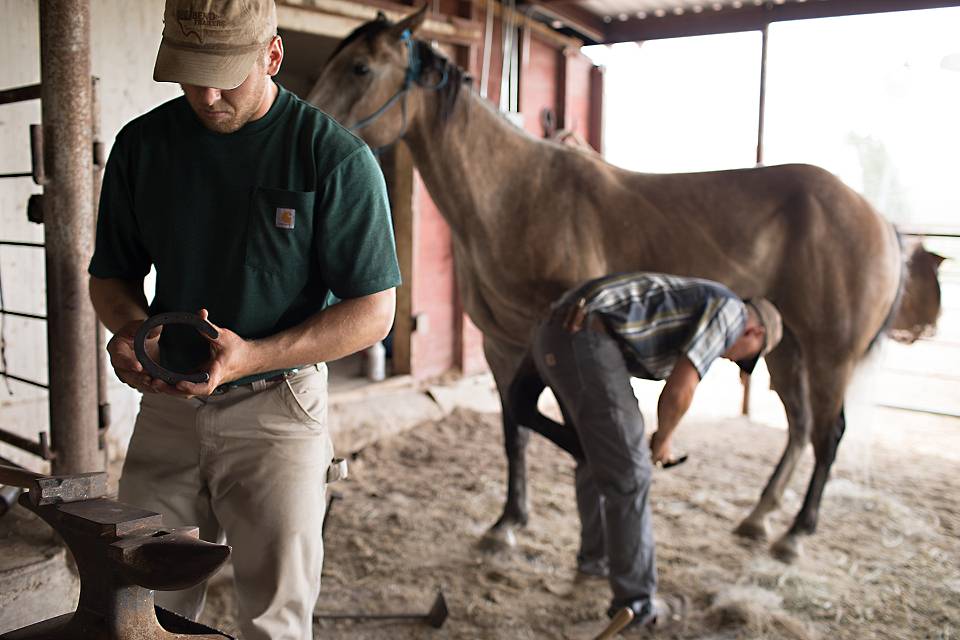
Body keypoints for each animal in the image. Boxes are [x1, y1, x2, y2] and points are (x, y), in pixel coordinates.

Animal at [308, 8, 944, 560]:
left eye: (360, 67)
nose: (311, 127)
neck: (514, 197)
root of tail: (878, 218)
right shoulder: (501, 346)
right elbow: (515, 430)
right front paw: (508, 522)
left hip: (831, 354)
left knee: (829, 434)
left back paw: (794, 534)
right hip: (786, 350)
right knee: (801, 426)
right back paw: (759, 517)